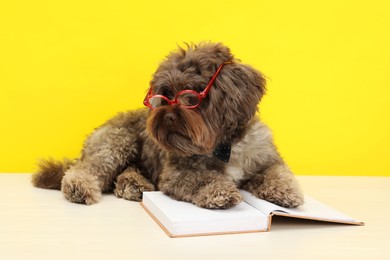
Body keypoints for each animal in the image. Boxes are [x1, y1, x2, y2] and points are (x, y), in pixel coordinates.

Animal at [31, 42, 304, 209]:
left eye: (190, 95)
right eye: (164, 94)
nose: (168, 116)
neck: (223, 145)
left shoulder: (266, 159)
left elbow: (278, 173)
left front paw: (285, 191)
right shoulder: (176, 174)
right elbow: (203, 178)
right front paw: (221, 192)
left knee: (125, 172)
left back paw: (134, 185)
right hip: (117, 143)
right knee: (84, 170)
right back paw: (81, 188)